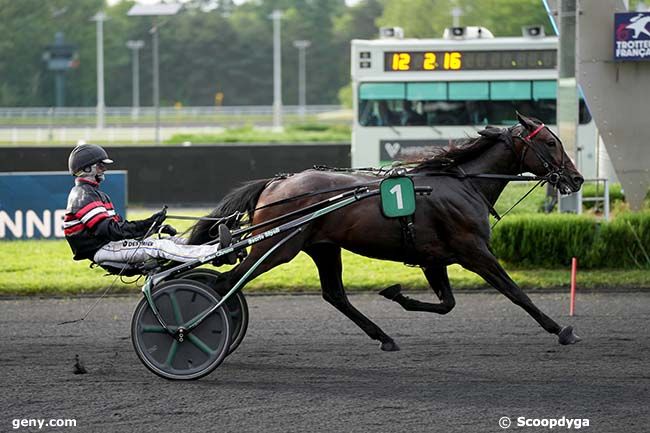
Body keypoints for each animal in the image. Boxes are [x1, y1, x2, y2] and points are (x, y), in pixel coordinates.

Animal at [187, 114, 584, 352]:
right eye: (551, 142)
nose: (577, 178)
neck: (462, 183)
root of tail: (276, 183)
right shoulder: (473, 251)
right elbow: (515, 292)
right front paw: (561, 330)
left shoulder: (433, 259)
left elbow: (447, 304)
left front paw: (396, 294)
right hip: (275, 247)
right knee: (225, 284)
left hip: (323, 247)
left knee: (334, 295)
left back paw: (384, 337)